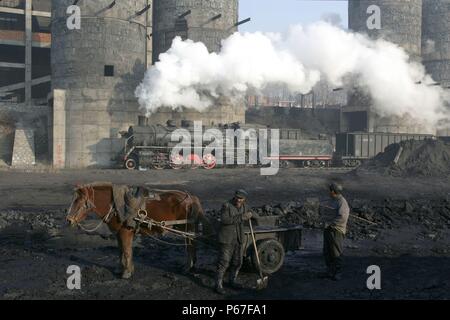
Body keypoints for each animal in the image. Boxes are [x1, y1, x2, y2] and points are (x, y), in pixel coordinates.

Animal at [65, 184, 211, 278]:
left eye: (80, 201)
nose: (69, 220)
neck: (116, 206)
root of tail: (190, 197)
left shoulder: (125, 232)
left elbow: (127, 251)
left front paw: (127, 272)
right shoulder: (119, 233)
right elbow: (121, 251)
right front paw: (121, 269)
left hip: (187, 227)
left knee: (190, 245)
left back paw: (187, 267)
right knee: (191, 245)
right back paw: (190, 265)